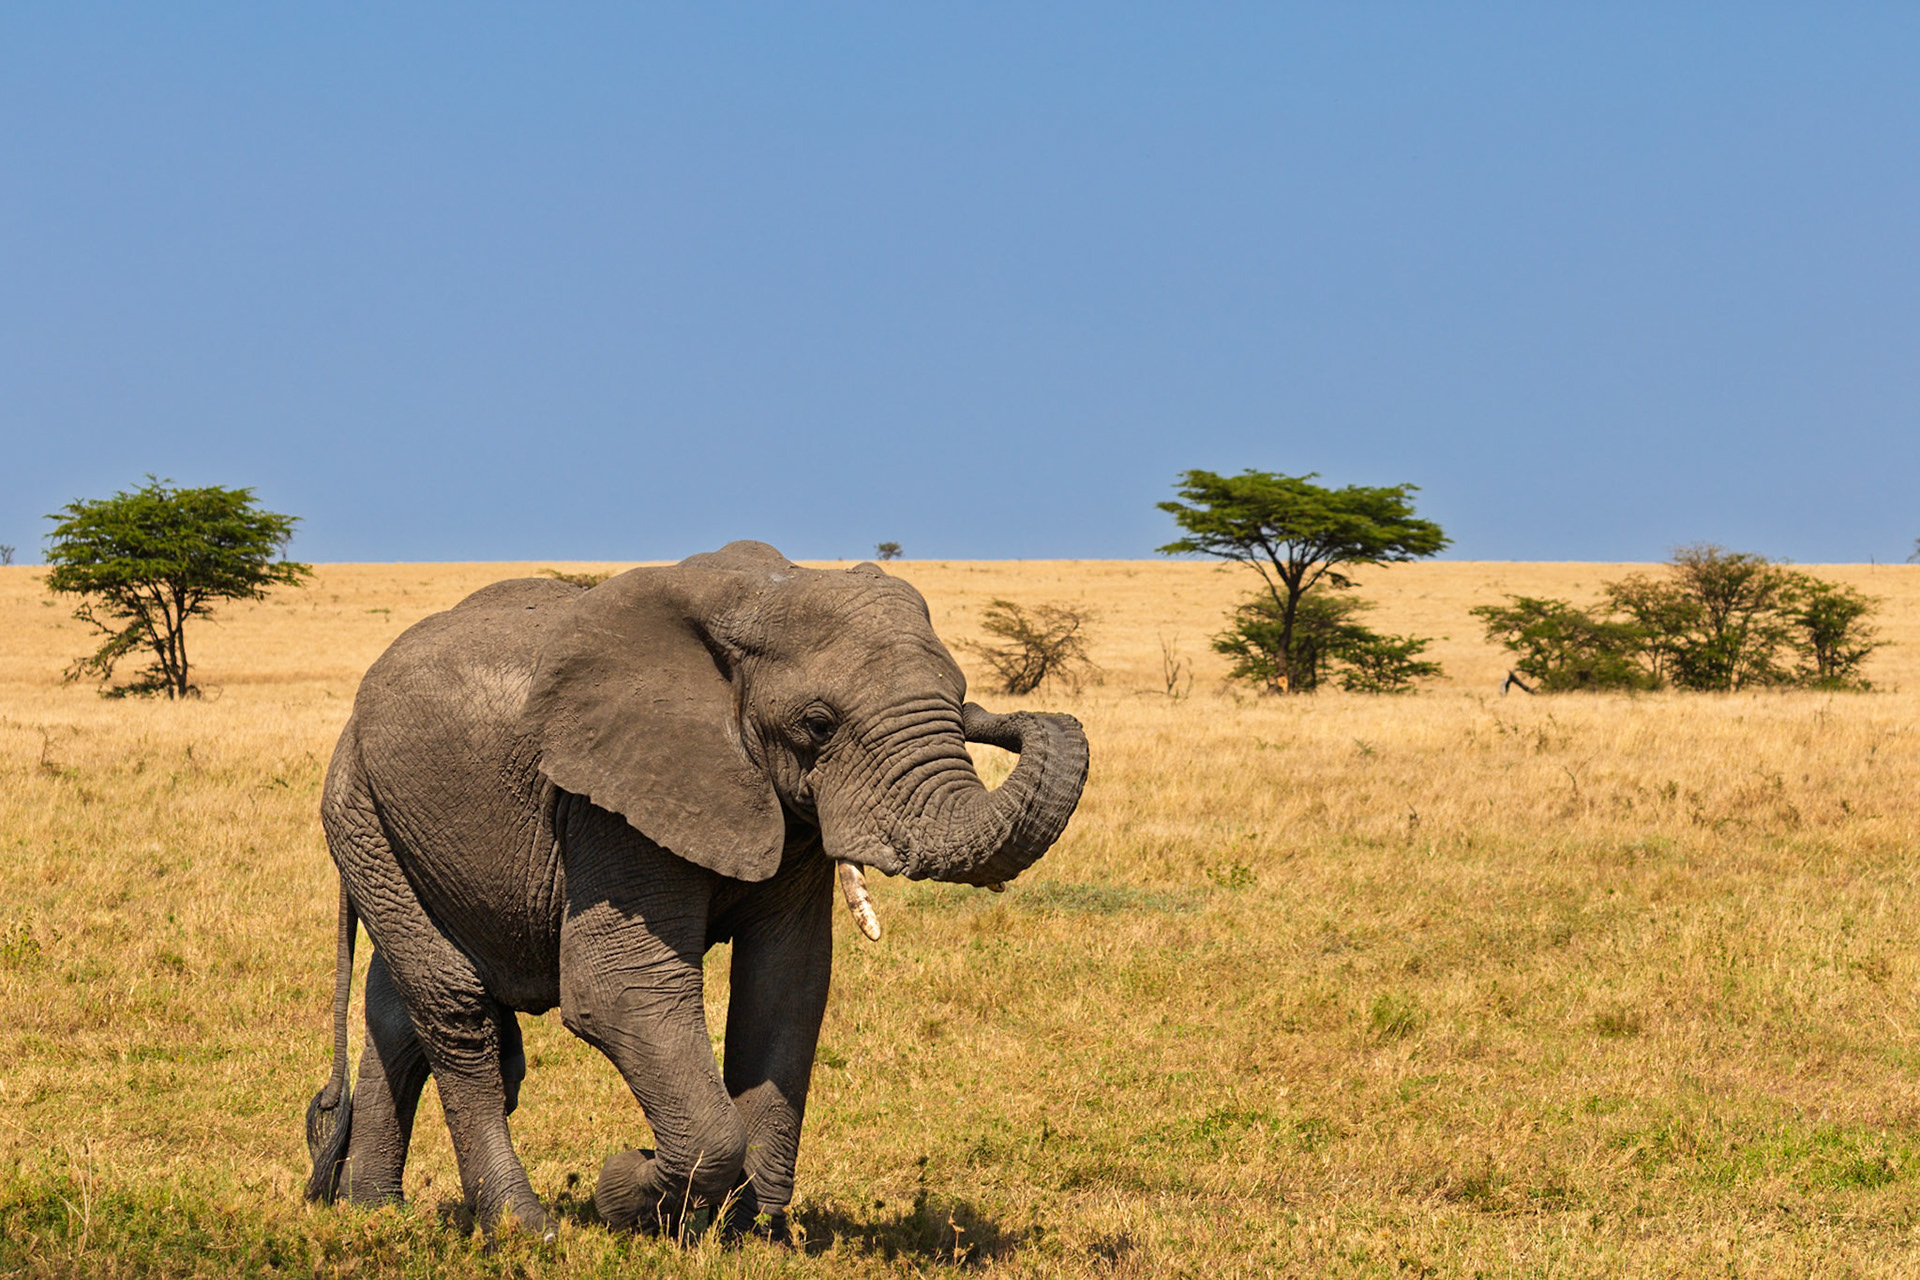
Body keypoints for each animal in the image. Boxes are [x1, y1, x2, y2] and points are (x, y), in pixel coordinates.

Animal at [302, 541, 1090, 1241]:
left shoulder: (786, 817)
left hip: (391, 827)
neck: (757, 601)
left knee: (398, 1014)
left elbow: (787, 985)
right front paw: (624, 1191)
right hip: (360, 811)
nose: (997, 716)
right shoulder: (610, 803)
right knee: (453, 1007)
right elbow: (619, 989)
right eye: (818, 724)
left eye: (959, 700)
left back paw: (372, 1214)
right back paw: (524, 1230)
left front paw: (744, 1234)